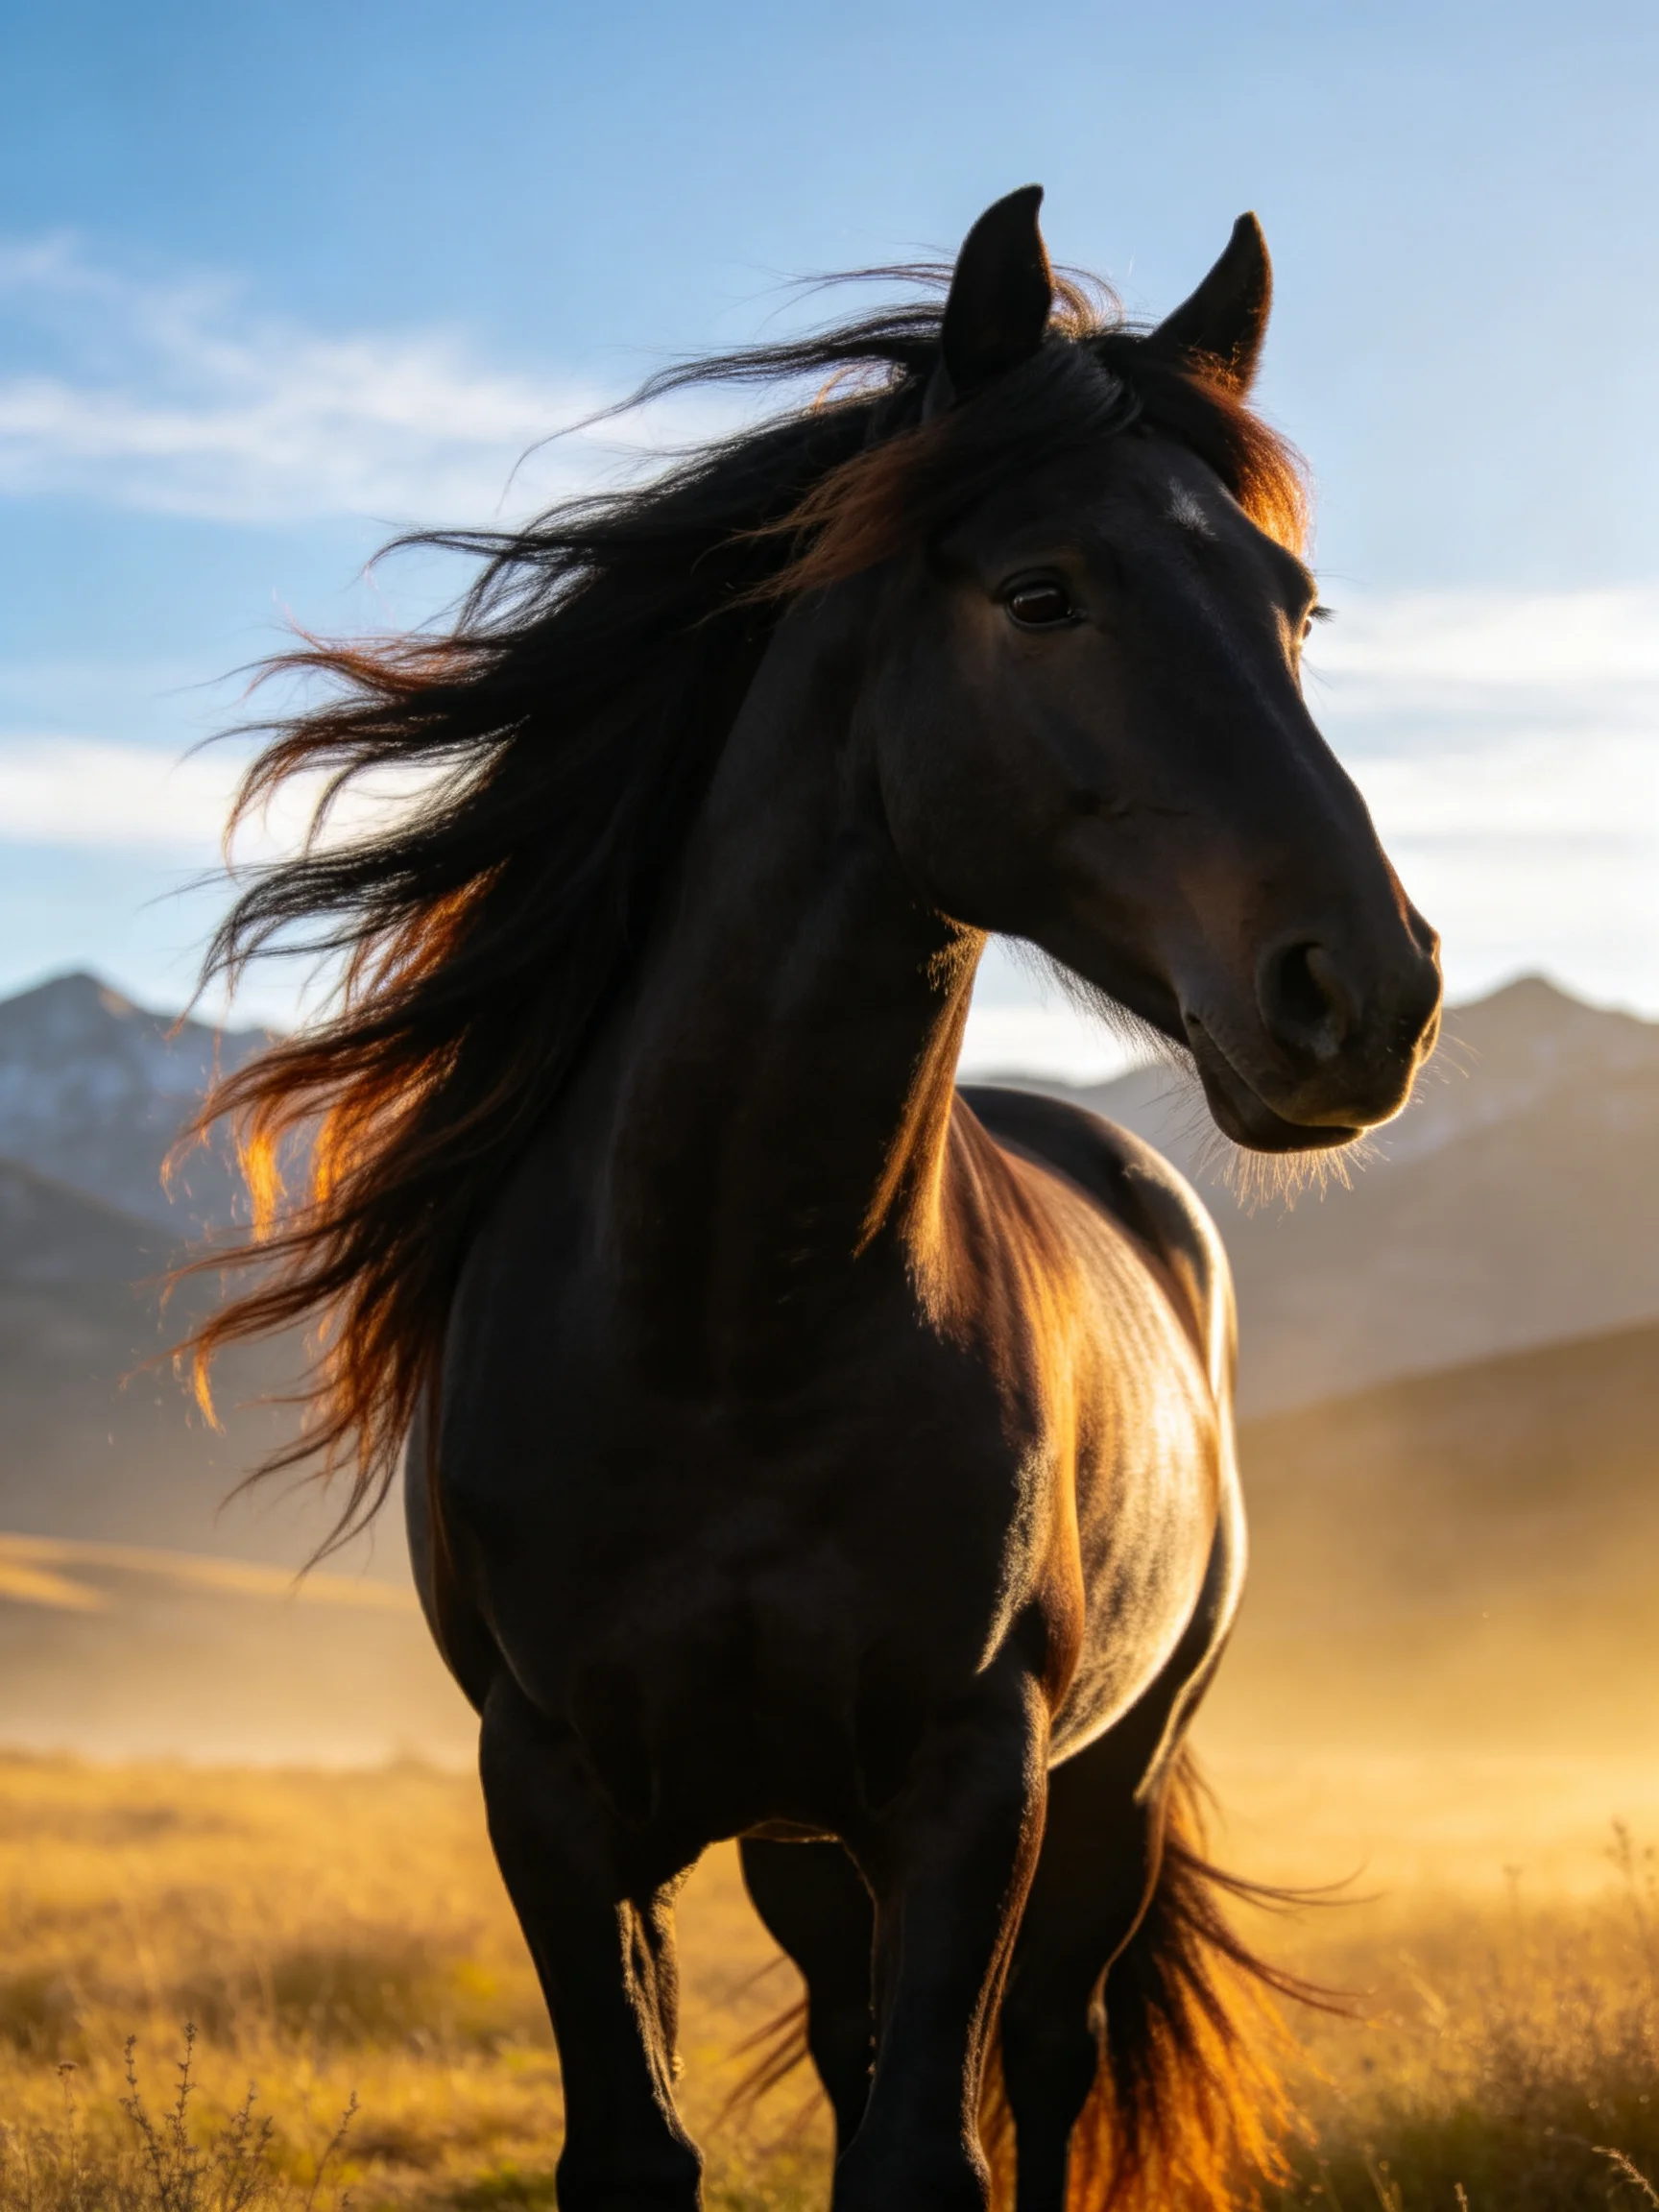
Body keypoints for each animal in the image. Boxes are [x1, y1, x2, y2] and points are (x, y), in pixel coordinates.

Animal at [184, 187, 1441, 2211]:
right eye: (1039, 591)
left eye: (1292, 604)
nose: (1362, 991)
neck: (723, 1318)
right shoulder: (551, 1794)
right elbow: (645, 2139)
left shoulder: (971, 1784)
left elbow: (933, 2146)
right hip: (792, 1834)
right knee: (856, 2040)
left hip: (1104, 1784)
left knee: (1045, 2055)